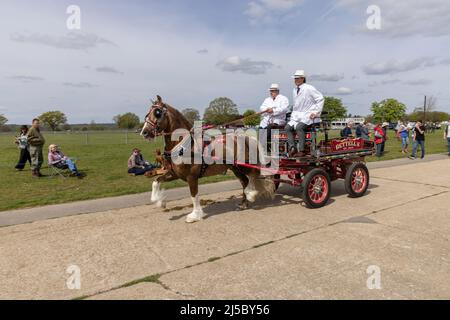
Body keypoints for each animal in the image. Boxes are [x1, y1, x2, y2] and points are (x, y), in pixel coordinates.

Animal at [141, 94, 274, 222]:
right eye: (147, 114)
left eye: (157, 113)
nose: (144, 132)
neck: (184, 146)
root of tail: (246, 137)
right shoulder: (175, 174)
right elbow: (156, 181)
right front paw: (159, 201)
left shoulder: (191, 177)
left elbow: (193, 195)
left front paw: (195, 215)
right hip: (235, 168)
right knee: (245, 181)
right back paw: (243, 203)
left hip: (243, 165)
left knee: (253, 174)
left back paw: (251, 194)